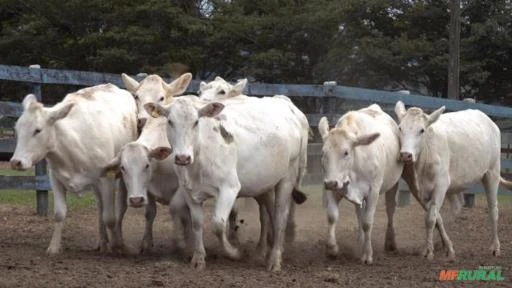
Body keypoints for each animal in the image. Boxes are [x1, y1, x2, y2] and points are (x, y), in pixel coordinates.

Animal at [10, 85, 138, 254]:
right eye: (17, 129)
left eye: (37, 130)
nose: (16, 162)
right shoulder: (55, 179)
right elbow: (59, 213)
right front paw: (54, 247)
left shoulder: (106, 179)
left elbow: (110, 217)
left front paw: (117, 245)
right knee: (100, 206)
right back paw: (102, 242)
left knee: (119, 208)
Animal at [146, 94, 310, 272]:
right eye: (170, 121)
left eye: (196, 122)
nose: (183, 158)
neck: (201, 152)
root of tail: (285, 102)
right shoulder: (188, 191)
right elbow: (197, 223)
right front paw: (198, 258)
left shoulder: (229, 188)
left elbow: (218, 224)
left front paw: (234, 252)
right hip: (264, 185)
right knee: (268, 213)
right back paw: (264, 251)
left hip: (288, 177)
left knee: (281, 215)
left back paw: (274, 259)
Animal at [318, 104, 402, 264]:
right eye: (323, 152)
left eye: (345, 152)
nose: (331, 183)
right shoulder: (334, 188)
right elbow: (332, 216)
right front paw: (332, 249)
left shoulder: (373, 192)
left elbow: (367, 222)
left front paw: (368, 254)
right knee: (359, 213)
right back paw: (360, 242)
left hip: (393, 184)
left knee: (390, 209)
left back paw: (390, 242)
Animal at [394, 102, 510, 260]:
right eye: (400, 128)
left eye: (422, 130)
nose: (406, 155)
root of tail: (488, 120)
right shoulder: (417, 191)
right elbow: (436, 218)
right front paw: (443, 247)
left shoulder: (441, 185)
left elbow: (430, 219)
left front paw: (429, 251)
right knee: (457, 207)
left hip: (492, 172)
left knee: (493, 210)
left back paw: (495, 247)